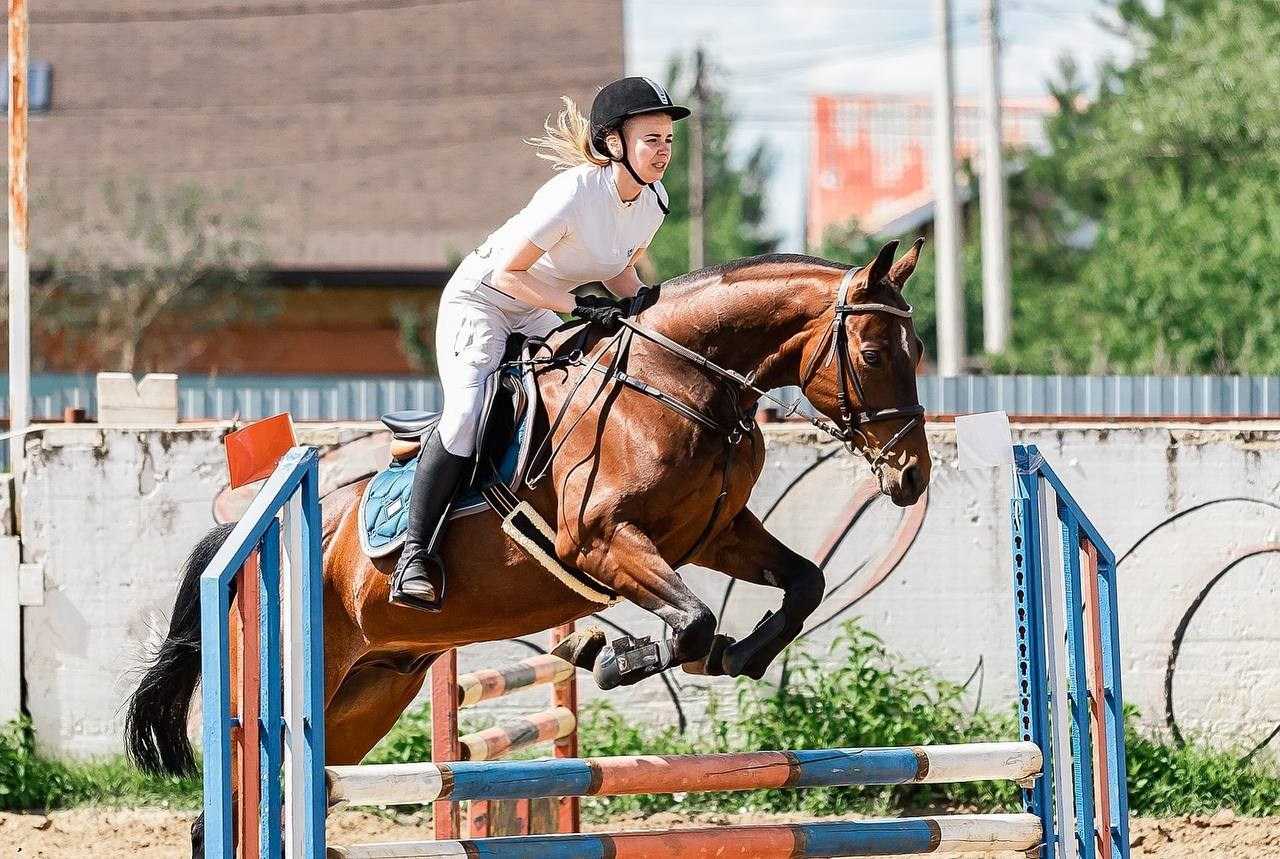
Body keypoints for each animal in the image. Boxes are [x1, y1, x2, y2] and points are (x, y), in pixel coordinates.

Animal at [124, 240, 933, 856]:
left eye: (919, 348)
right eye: (871, 351)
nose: (911, 475)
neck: (678, 382)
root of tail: (242, 544)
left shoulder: (716, 535)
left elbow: (804, 584)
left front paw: (737, 656)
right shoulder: (603, 540)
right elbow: (693, 620)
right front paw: (610, 654)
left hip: (365, 697)